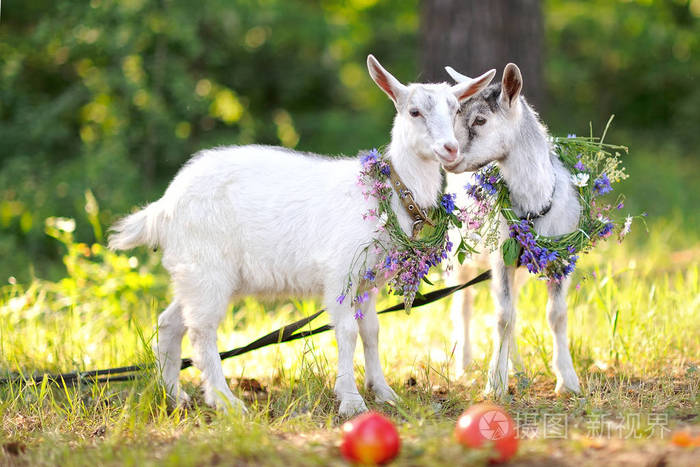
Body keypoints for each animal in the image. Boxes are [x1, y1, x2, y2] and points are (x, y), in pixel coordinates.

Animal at [106, 55, 494, 416]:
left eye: (456, 109)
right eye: (414, 111)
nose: (449, 148)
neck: (389, 192)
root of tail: (164, 206)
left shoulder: (367, 282)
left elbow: (371, 331)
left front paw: (384, 392)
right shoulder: (340, 273)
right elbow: (347, 332)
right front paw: (351, 400)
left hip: (195, 273)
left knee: (171, 322)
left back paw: (174, 397)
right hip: (207, 267)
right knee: (202, 331)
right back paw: (226, 401)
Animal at [446, 62, 584, 398]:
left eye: (480, 120)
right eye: (454, 117)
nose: (450, 155)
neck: (534, 205)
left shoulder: (560, 257)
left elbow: (556, 314)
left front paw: (568, 381)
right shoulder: (500, 258)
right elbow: (502, 317)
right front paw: (494, 385)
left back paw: (518, 367)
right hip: (460, 254)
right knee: (463, 304)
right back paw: (464, 365)